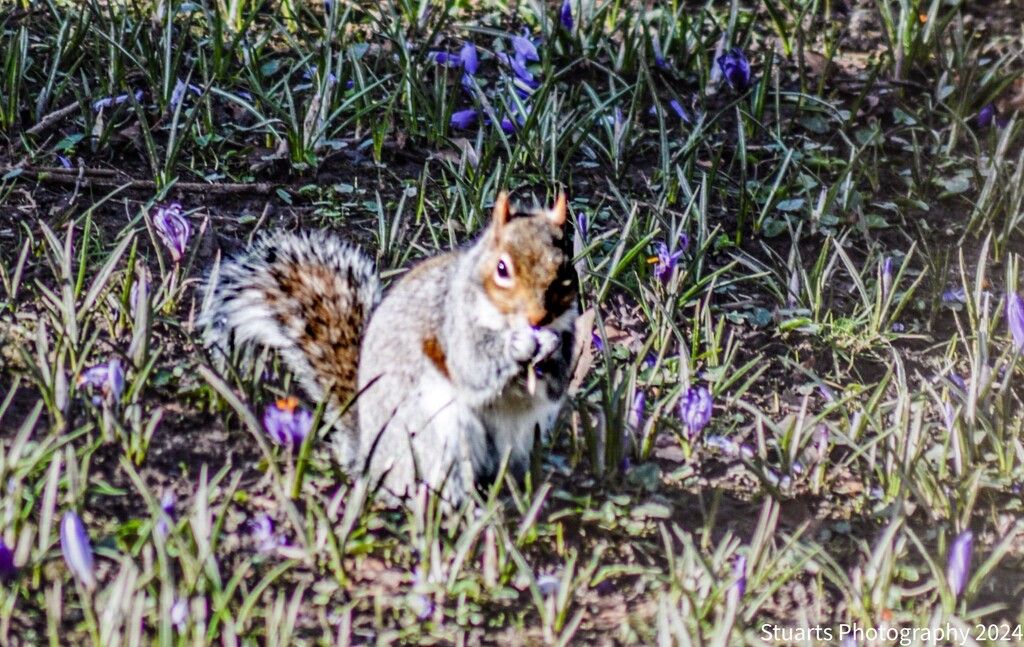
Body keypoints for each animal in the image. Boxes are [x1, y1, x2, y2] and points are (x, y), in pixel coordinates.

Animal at [200, 192, 581, 505]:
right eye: (502, 269)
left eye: (567, 274)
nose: (538, 317)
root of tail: (370, 457)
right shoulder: (453, 325)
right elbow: (474, 367)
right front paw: (517, 344)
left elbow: (556, 383)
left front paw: (549, 346)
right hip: (433, 432)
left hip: (520, 434)